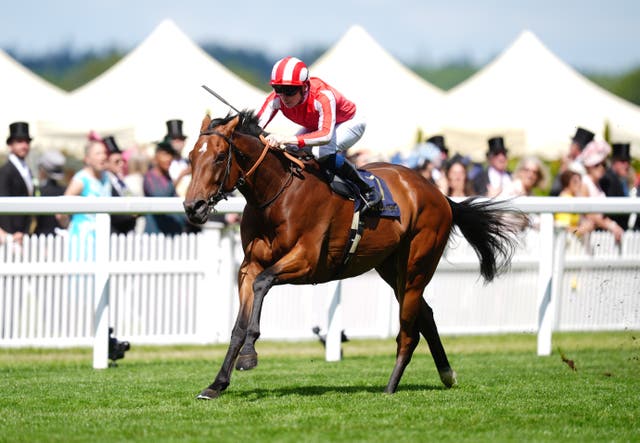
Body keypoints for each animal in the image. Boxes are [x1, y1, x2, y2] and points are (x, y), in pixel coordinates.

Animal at [182, 110, 528, 398]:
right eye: (190, 156)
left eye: (220, 156)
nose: (192, 207)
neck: (276, 193)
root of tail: (440, 195)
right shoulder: (249, 265)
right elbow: (239, 323)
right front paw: (216, 384)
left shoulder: (307, 261)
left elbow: (263, 284)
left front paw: (250, 354)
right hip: (392, 268)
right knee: (426, 316)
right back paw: (446, 374)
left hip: (417, 267)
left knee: (409, 332)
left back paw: (390, 387)